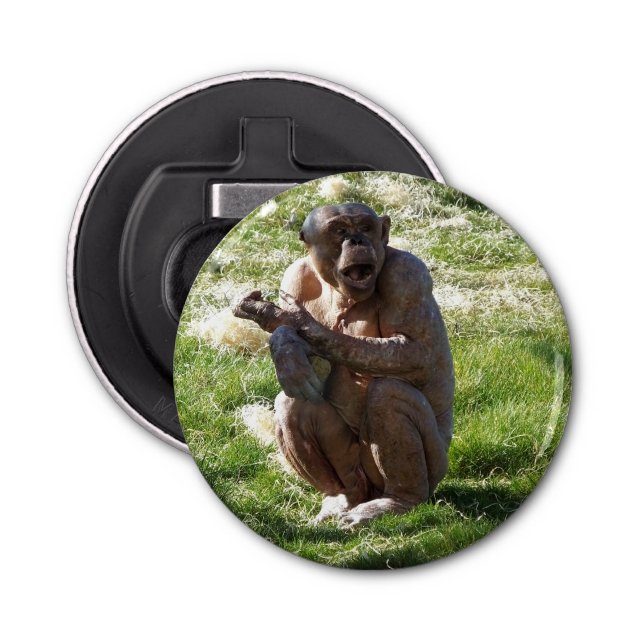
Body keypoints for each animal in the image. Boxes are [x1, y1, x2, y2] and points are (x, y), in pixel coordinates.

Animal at [233, 203, 454, 527]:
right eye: (339, 231)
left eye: (364, 227)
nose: (356, 240)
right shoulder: (294, 276)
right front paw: (286, 345)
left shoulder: (408, 275)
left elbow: (416, 351)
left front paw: (293, 321)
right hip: (358, 474)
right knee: (294, 402)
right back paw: (341, 498)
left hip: (435, 467)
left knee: (389, 395)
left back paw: (398, 501)